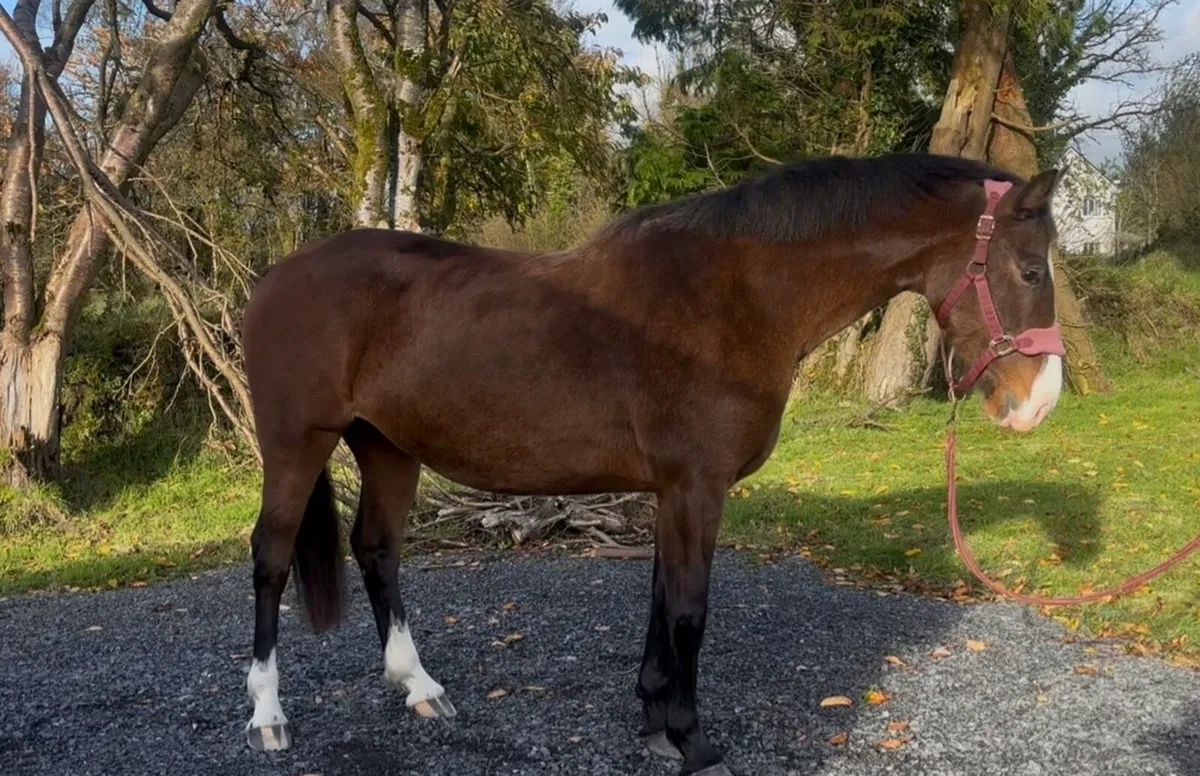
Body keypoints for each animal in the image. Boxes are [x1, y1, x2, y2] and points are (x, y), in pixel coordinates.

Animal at [240, 153, 1066, 775]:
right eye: (1030, 271)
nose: (1040, 403)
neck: (737, 298)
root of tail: (275, 275)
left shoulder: (672, 491)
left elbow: (662, 603)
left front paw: (654, 719)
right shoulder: (697, 486)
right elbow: (690, 612)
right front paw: (693, 741)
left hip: (385, 446)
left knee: (377, 549)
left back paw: (418, 687)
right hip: (297, 443)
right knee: (271, 558)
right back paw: (268, 714)